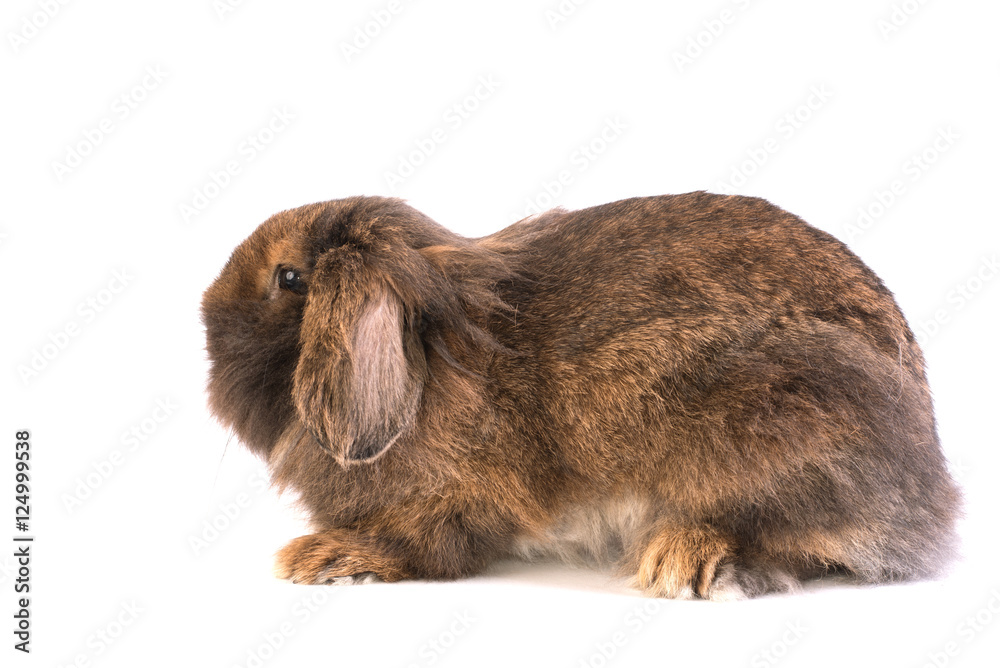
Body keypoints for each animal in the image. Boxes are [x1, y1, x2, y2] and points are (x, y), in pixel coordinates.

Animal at [201, 191, 961, 600]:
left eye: (290, 278)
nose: (206, 312)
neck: (429, 360)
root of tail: (932, 488)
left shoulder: (460, 502)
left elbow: (432, 548)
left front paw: (323, 558)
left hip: (780, 419)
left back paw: (686, 558)